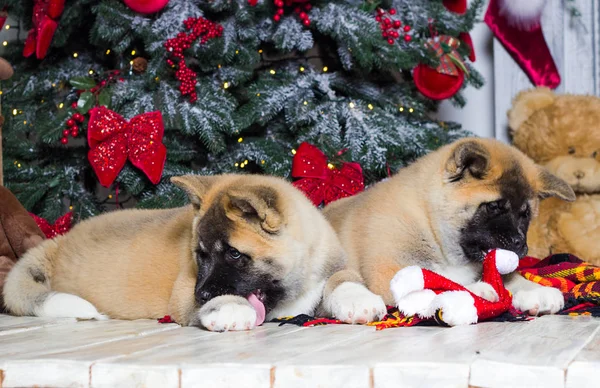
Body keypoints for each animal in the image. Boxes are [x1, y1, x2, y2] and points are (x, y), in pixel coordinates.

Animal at [3, 175, 380, 330]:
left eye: (233, 254)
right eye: (200, 254)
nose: (202, 294)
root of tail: (57, 242)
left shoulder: (330, 267)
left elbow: (344, 277)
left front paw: (357, 299)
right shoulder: (184, 290)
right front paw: (230, 309)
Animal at [324, 137, 576, 318]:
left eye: (525, 214)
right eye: (493, 207)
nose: (519, 243)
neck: (429, 223)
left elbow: (509, 277)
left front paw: (534, 290)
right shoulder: (387, 274)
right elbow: (440, 282)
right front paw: (478, 290)